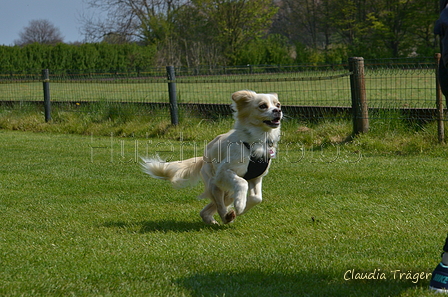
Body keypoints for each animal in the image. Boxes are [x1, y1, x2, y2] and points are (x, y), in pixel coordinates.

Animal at [142, 90, 282, 224]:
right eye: (262, 106)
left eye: (278, 104)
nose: (278, 111)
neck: (258, 140)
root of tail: (203, 158)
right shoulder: (223, 173)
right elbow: (242, 182)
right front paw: (240, 205)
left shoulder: (256, 177)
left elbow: (257, 198)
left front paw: (242, 207)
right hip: (215, 185)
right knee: (219, 205)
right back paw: (226, 217)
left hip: (228, 192)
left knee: (208, 209)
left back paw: (221, 218)